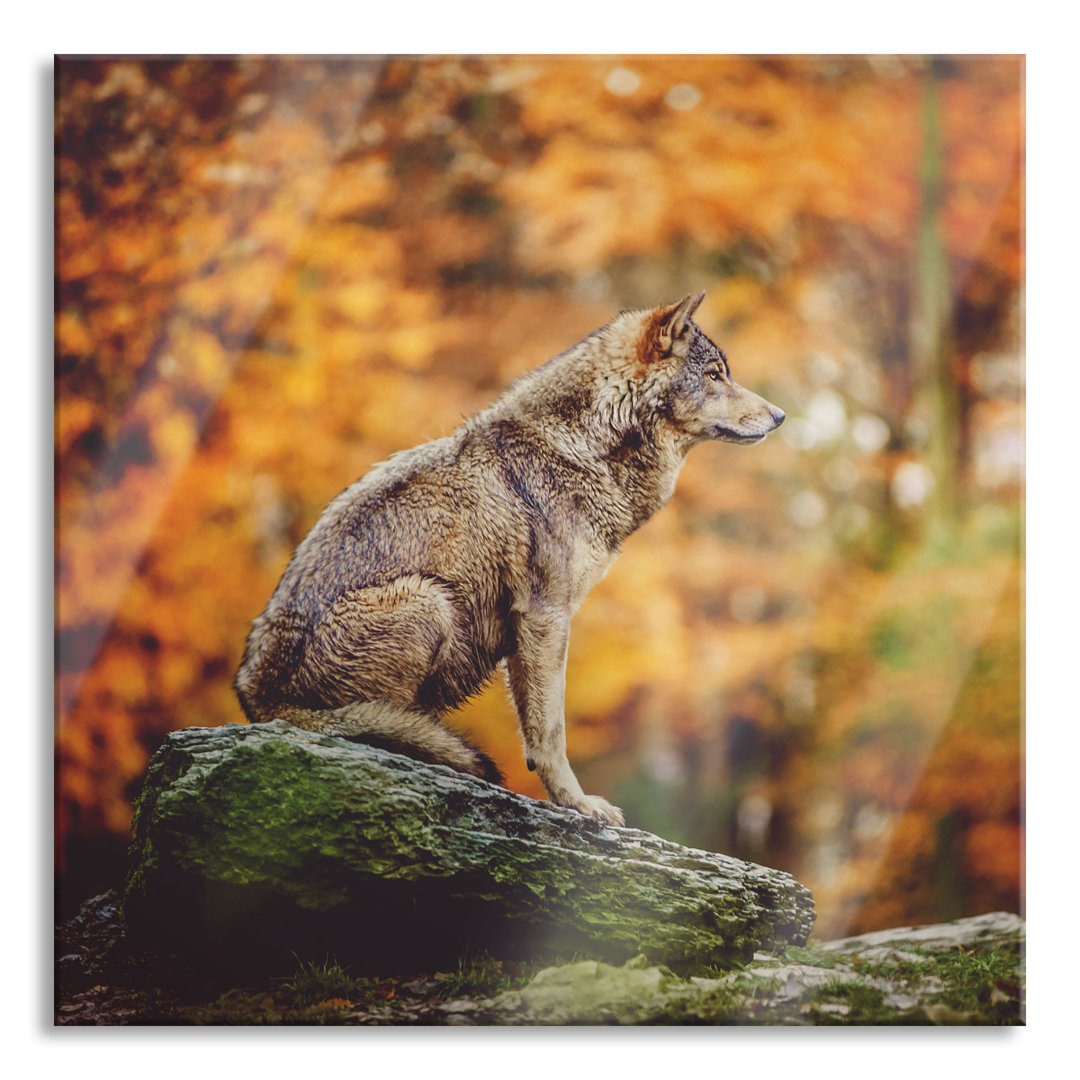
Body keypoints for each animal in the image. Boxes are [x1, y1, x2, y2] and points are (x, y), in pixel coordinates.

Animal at [234, 291, 786, 820]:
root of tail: (256, 696)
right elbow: (551, 731)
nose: (780, 416)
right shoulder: (546, 616)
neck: (583, 447)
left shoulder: (530, 630)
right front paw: (579, 805)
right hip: (429, 601)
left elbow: (536, 729)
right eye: (715, 375)